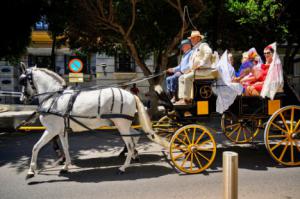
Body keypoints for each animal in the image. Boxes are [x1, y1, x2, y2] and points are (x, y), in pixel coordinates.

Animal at [19, 64, 169, 180]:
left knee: (130, 144)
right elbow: (66, 147)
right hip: (123, 124)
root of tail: (131, 95)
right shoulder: (61, 131)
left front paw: (31, 171)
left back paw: (123, 167)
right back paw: (133, 156)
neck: (54, 97)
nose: (22, 99)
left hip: (121, 124)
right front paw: (66, 166)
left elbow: (35, 147)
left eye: (23, 81)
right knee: (135, 135)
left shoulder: (52, 130)